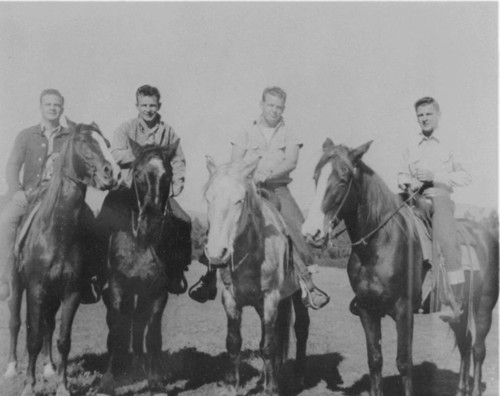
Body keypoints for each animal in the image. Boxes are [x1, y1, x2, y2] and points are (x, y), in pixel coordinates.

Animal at [7, 124, 119, 396]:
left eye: (106, 142)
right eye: (82, 141)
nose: (110, 173)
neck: (56, 230)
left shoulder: (71, 292)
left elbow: (63, 340)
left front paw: (62, 386)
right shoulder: (36, 289)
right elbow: (32, 338)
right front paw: (29, 385)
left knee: (48, 327)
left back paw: (49, 367)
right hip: (17, 285)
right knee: (15, 323)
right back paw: (12, 368)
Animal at [96, 139, 179, 396]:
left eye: (167, 176)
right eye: (138, 175)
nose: (151, 223)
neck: (141, 240)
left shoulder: (157, 291)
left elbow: (152, 333)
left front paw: (155, 380)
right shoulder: (117, 287)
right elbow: (117, 329)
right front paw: (109, 381)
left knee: (139, 324)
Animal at [203, 157, 308, 396]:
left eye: (239, 200)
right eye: (208, 198)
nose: (216, 254)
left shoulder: (270, 299)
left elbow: (268, 347)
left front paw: (271, 389)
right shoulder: (230, 299)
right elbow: (233, 342)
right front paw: (231, 386)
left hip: (296, 297)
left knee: (301, 328)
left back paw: (298, 376)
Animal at [302, 139, 498, 396]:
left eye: (343, 179)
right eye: (315, 177)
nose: (311, 233)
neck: (378, 246)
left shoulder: (403, 311)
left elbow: (404, 362)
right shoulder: (367, 310)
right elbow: (375, 359)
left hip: (484, 305)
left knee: (478, 349)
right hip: (460, 310)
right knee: (465, 345)